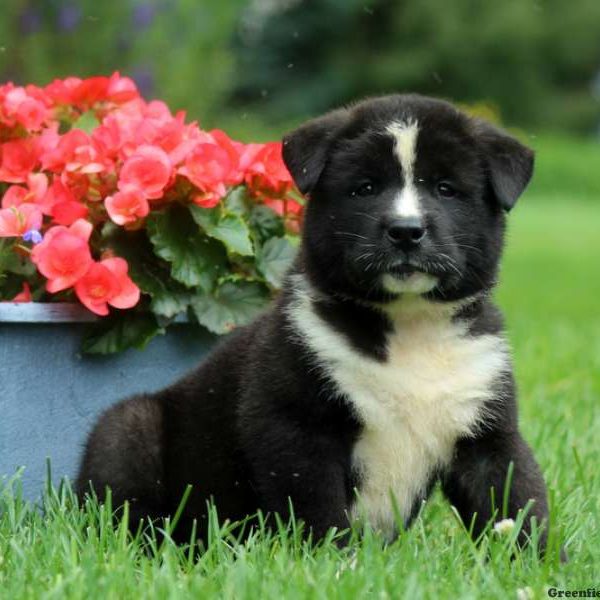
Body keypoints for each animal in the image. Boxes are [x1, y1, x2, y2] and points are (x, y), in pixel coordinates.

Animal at [78, 95, 552, 552]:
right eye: (365, 188)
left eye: (446, 189)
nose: (405, 230)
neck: (409, 325)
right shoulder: (297, 424)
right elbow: (314, 505)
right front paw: (329, 560)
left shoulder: (485, 426)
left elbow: (516, 499)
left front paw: (540, 562)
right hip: (126, 429)